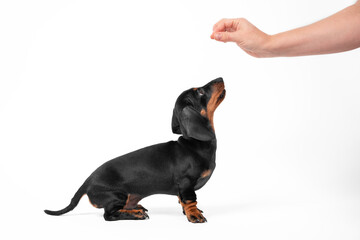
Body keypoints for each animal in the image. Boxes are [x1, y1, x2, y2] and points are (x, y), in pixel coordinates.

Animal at [44, 78, 225, 223]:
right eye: (200, 91)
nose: (220, 78)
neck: (194, 144)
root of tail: (88, 181)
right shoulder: (186, 183)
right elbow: (189, 201)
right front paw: (194, 215)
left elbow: (181, 200)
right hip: (117, 195)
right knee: (109, 215)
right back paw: (136, 214)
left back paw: (136, 207)